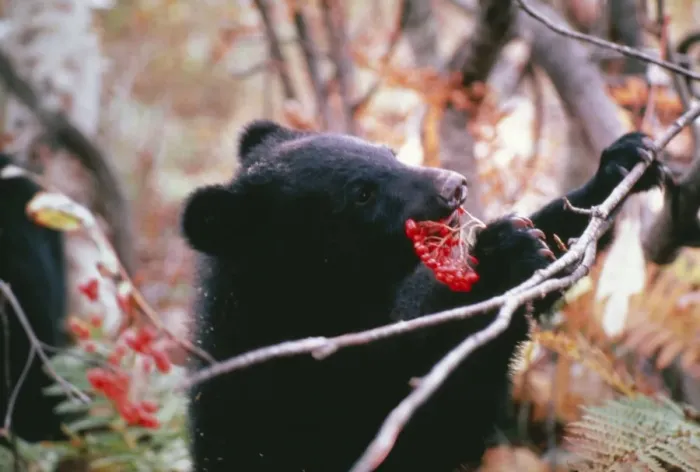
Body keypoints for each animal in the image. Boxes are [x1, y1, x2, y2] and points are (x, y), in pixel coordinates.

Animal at [180, 121, 662, 472]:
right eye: (361, 193)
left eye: (389, 153)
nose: (454, 185)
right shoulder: (308, 402)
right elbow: (435, 413)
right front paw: (505, 256)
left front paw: (619, 165)